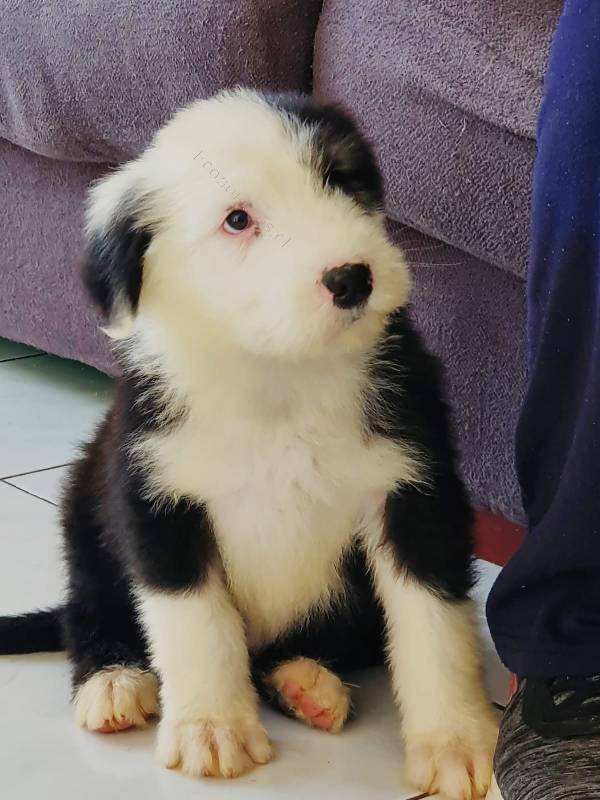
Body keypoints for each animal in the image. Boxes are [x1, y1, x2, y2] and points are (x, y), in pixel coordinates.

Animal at [0, 89, 496, 800]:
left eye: (341, 179)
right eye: (237, 220)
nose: (353, 278)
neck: (278, 375)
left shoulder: (416, 489)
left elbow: (434, 625)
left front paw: (456, 743)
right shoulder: (157, 496)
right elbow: (196, 624)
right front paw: (211, 729)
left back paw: (306, 680)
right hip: (85, 506)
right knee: (87, 610)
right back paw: (113, 680)